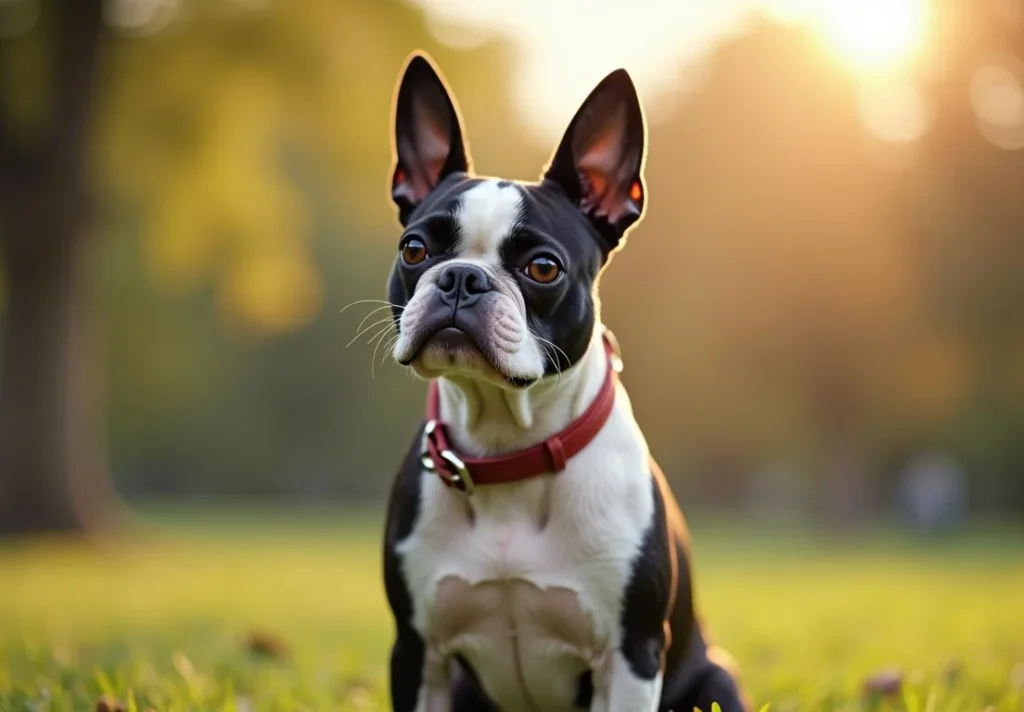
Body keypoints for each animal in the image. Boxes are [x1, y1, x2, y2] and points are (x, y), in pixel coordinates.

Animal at [380, 51, 749, 712]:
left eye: (543, 268)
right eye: (415, 250)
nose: (461, 278)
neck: (508, 447)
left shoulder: (630, 655)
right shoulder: (417, 651)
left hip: (715, 680)